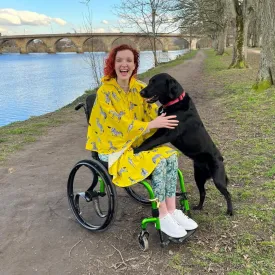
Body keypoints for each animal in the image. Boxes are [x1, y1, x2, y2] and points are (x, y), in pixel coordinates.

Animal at [135, 74, 234, 217]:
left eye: (155, 82)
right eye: (149, 81)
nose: (141, 92)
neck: (174, 103)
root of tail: (221, 158)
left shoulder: (169, 133)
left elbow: (151, 142)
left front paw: (136, 150)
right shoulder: (161, 129)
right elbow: (149, 140)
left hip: (218, 179)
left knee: (227, 193)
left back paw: (230, 211)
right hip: (198, 177)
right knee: (203, 192)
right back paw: (198, 207)